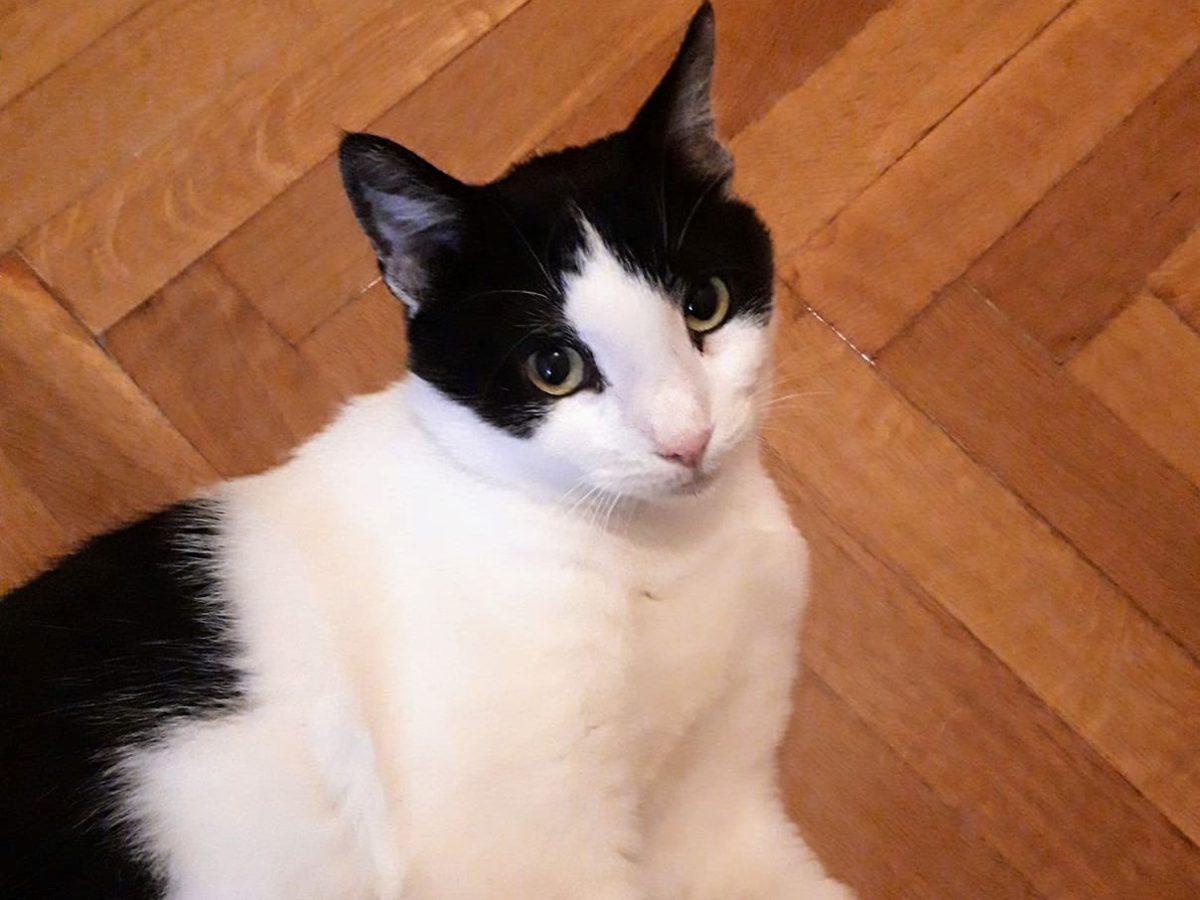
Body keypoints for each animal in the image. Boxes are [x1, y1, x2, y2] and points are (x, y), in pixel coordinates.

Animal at [4, 7, 859, 900]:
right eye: (554, 368)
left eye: (705, 304)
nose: (685, 437)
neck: (666, 551)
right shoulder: (527, 854)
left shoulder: (721, 808)